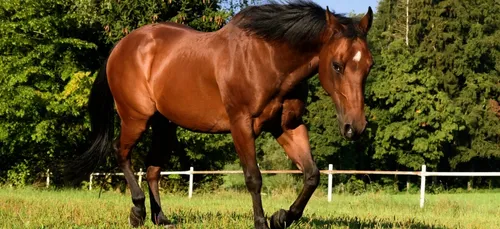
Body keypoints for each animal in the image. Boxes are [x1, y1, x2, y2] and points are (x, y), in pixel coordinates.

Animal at [72, 0, 374, 228]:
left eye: (369, 65)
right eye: (336, 65)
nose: (355, 127)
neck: (269, 59)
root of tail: (121, 47)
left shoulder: (288, 126)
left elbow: (312, 175)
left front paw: (281, 218)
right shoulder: (241, 125)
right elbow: (254, 177)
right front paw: (261, 222)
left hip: (165, 125)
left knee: (152, 168)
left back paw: (162, 218)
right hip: (136, 118)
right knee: (121, 153)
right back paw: (138, 212)